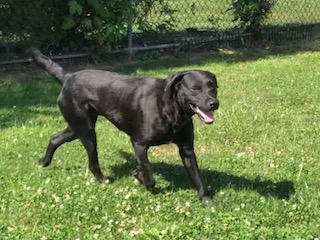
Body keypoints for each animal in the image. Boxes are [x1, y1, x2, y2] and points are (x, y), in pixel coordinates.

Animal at [28, 48, 219, 202]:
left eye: (213, 87)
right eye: (195, 88)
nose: (214, 103)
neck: (171, 108)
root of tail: (68, 77)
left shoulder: (186, 148)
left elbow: (197, 176)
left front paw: (207, 200)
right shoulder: (139, 143)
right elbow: (148, 175)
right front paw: (140, 176)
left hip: (76, 128)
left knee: (55, 138)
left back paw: (44, 162)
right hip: (87, 131)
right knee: (92, 162)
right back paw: (103, 180)